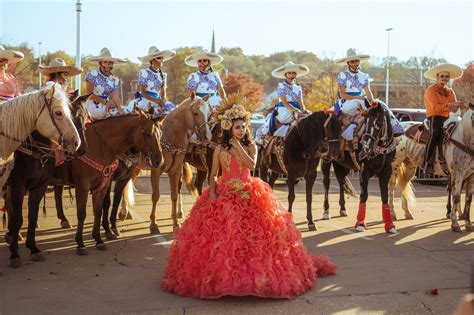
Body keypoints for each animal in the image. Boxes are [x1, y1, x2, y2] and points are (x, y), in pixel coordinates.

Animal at [3, 94, 90, 270]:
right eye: (66, 113)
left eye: (85, 116)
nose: (80, 148)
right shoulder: (18, 186)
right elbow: (18, 219)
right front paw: (14, 253)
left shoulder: (40, 186)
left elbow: (32, 216)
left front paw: (33, 248)